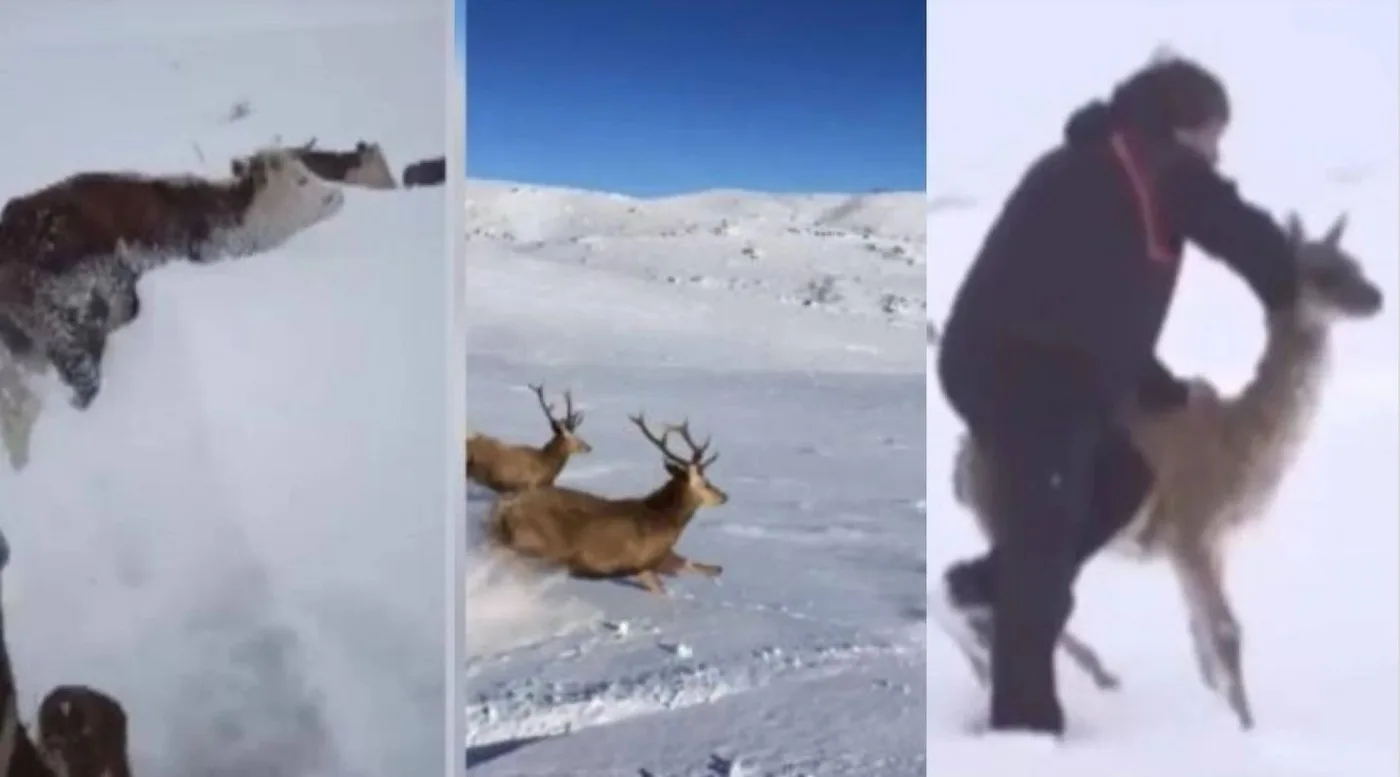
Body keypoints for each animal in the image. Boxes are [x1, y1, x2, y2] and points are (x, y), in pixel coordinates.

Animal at [490, 417, 733, 593]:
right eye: (705, 482)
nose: (724, 496)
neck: (663, 522)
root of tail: (502, 510)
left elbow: (709, 568)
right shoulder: (639, 562)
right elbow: (662, 589)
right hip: (537, 541)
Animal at [946, 211, 1383, 728]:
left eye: (1354, 261)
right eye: (1321, 273)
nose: (1376, 298)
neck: (1238, 437)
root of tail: (962, 464)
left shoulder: (1190, 546)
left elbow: (1203, 641)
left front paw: (1224, 712)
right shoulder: (1194, 530)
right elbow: (1225, 631)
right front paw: (1247, 726)